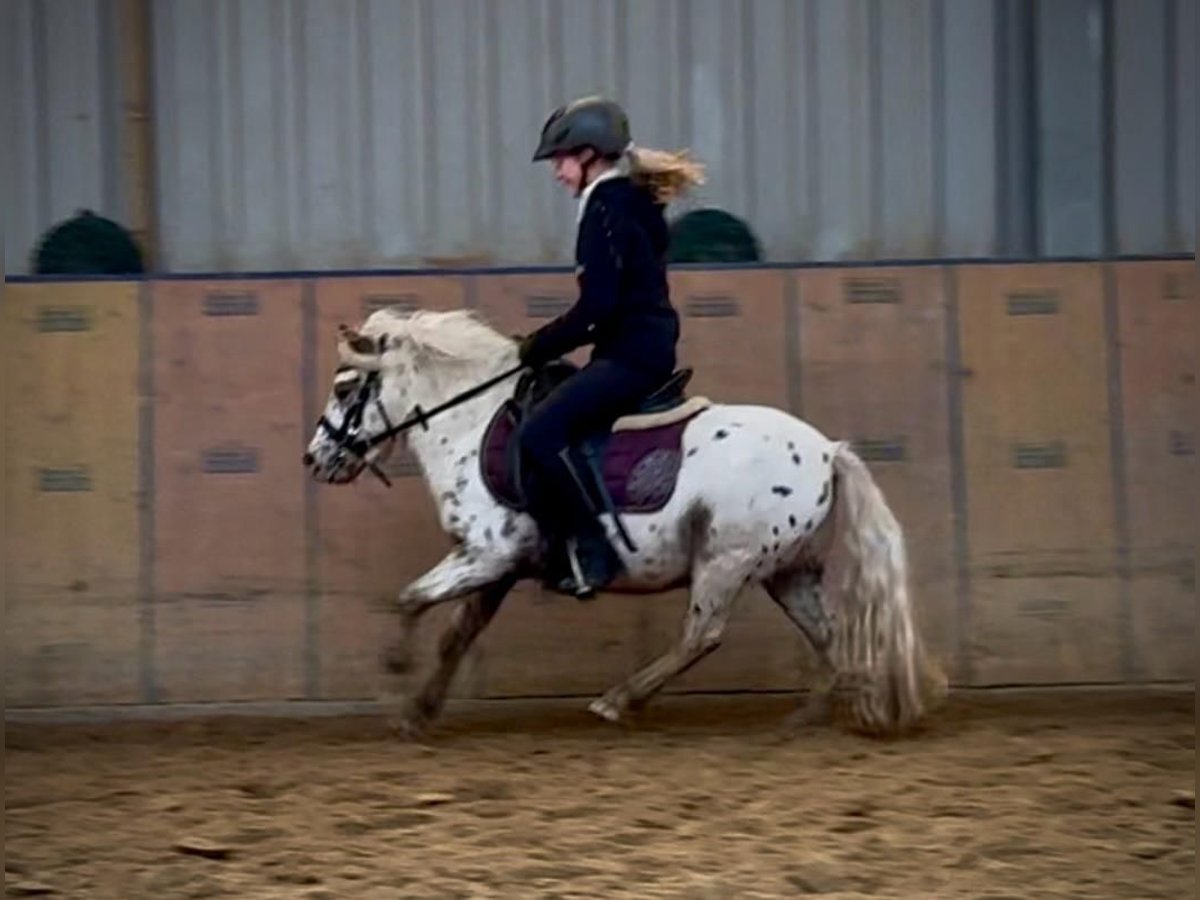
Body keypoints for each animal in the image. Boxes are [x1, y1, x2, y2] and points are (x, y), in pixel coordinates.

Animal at [302, 306, 946, 738]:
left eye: (345, 388)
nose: (315, 458)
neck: (472, 423)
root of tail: (827, 451)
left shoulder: (487, 554)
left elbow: (410, 599)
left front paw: (394, 677)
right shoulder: (498, 565)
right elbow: (457, 633)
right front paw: (420, 710)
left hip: (725, 558)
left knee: (701, 635)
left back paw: (619, 700)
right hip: (785, 571)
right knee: (826, 633)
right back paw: (811, 714)